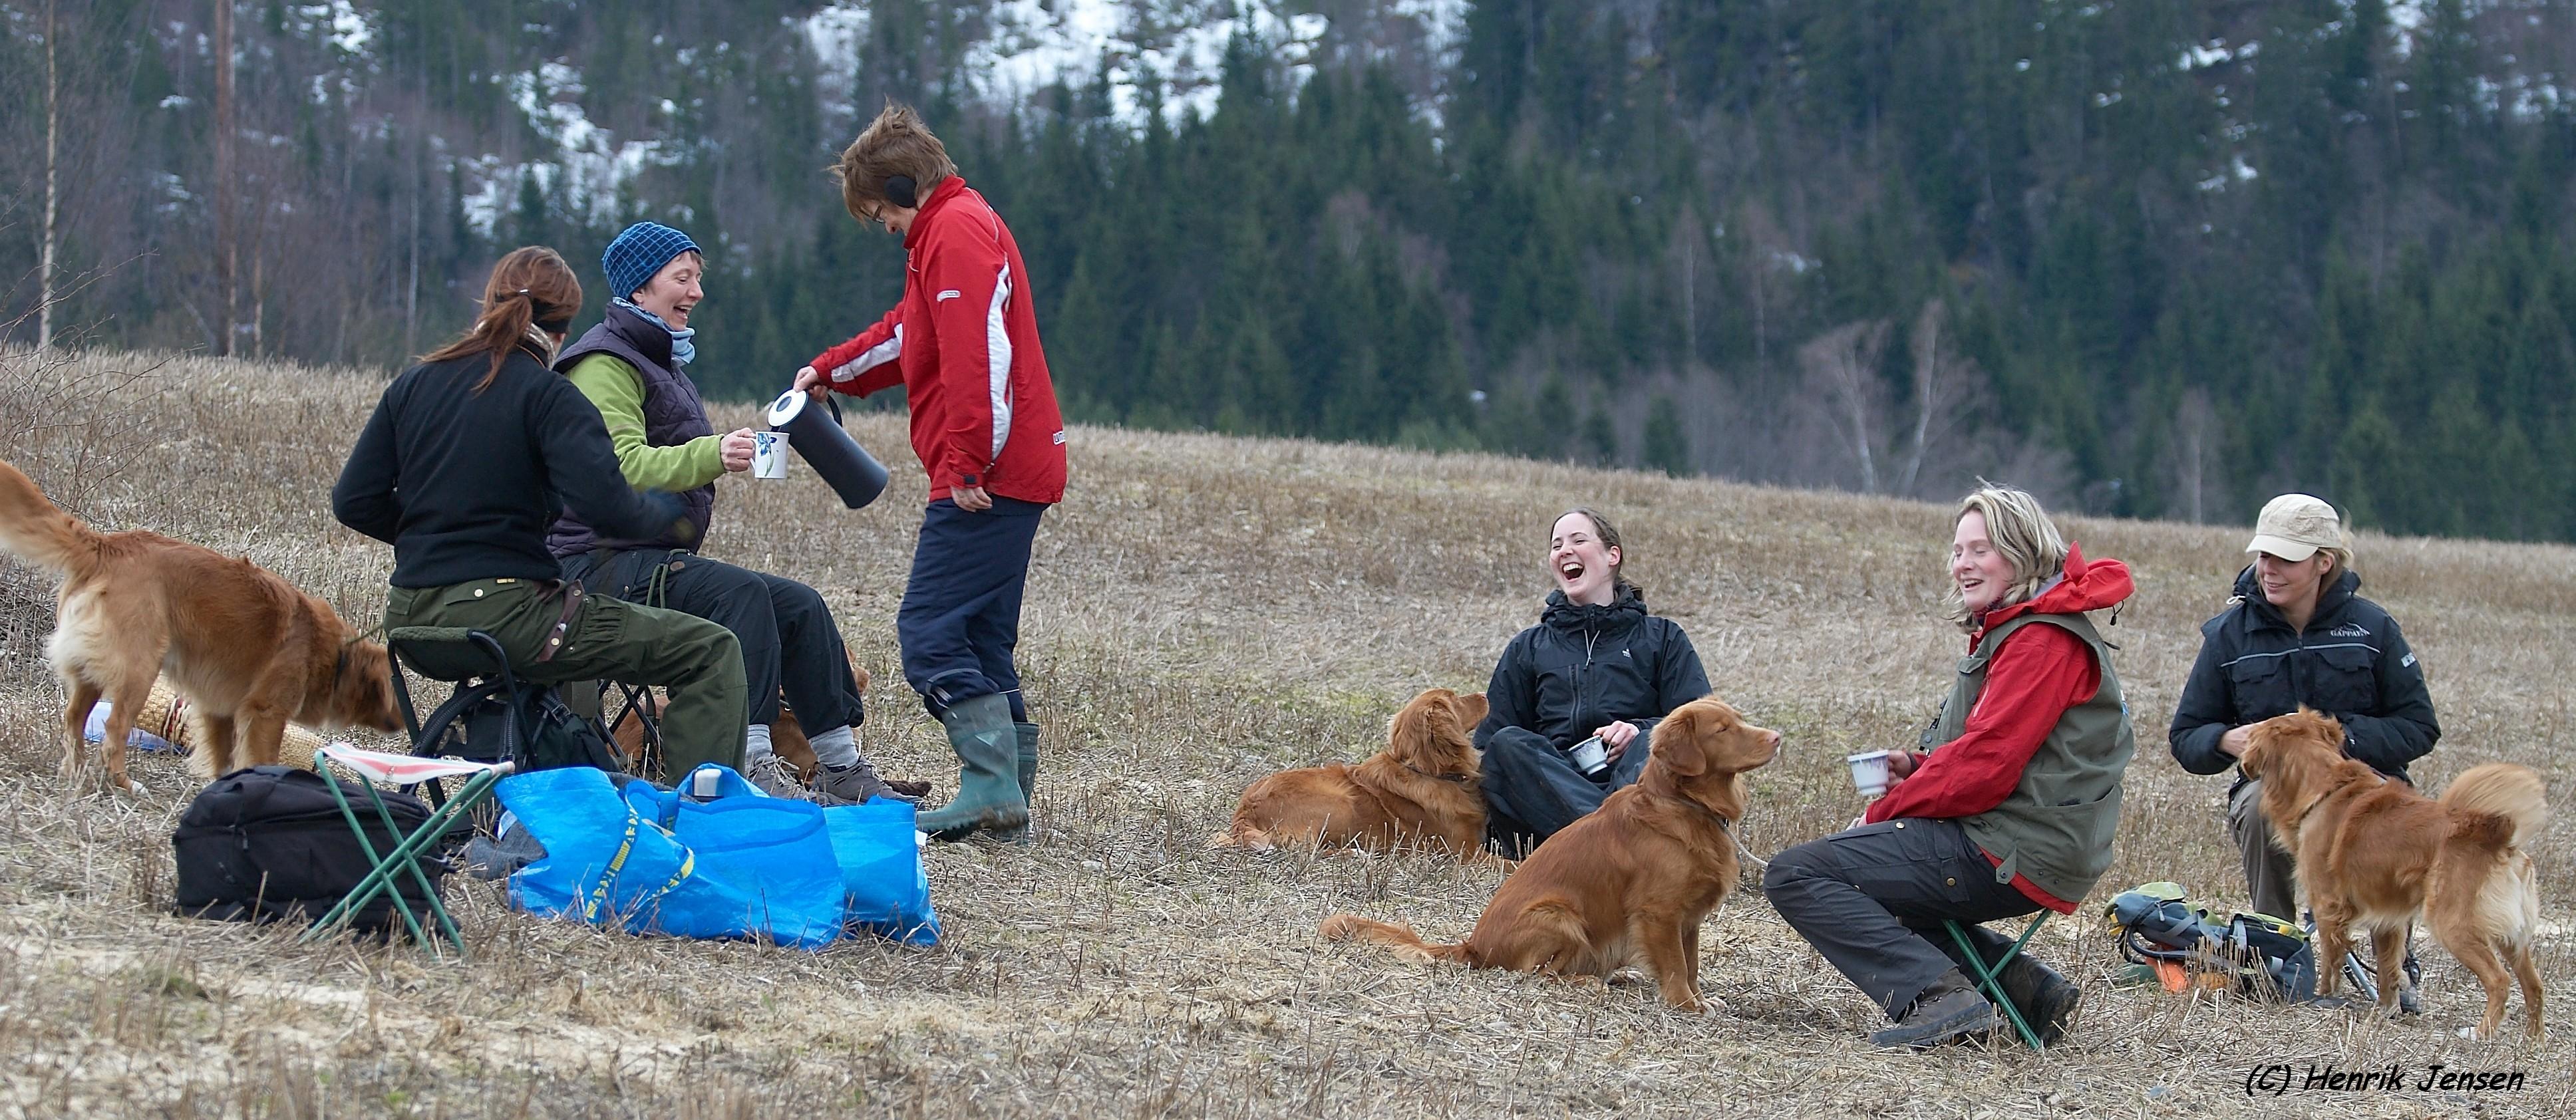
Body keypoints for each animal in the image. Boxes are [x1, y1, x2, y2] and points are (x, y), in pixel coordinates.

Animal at [1221, 684, 1504, 860]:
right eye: (1455, 699)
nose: (1485, 694)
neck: (1425, 772)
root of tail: (1244, 812)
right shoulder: (1465, 854)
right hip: (1342, 802)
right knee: (1306, 850)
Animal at [1319, 695, 1782, 1014]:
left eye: (1738, 720)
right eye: (1722, 730)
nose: (1777, 738)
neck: (1684, 806)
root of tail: (1474, 947)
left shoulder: (1688, 919)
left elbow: (1692, 962)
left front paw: (1700, 999)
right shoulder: (1660, 913)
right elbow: (1675, 967)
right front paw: (1685, 1005)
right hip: (1558, 915)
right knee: (1542, 974)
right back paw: (1589, 983)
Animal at [2246, 710, 2545, 1045]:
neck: (2325, 789)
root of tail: (2496, 835)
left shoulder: (2328, 906)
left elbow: (2332, 962)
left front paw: (2324, 998)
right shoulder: (2388, 917)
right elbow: (2388, 970)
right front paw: (2384, 1011)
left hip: (2454, 925)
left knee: (2499, 980)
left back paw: (2480, 1033)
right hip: (2513, 936)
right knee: (2534, 986)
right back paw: (2534, 1042)